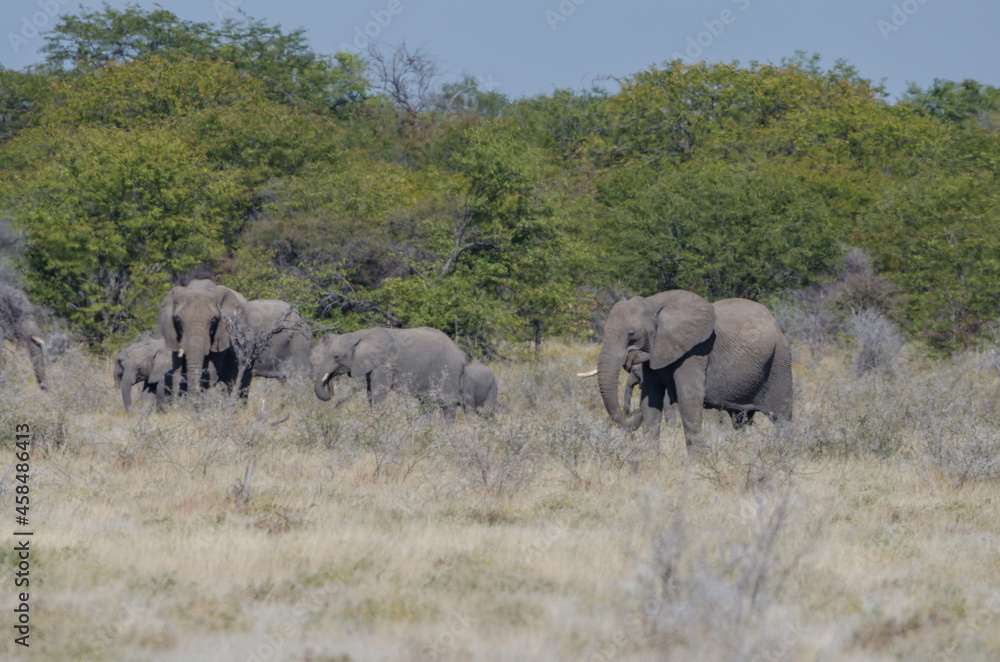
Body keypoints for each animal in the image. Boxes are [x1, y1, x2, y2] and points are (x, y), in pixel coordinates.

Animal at [312, 328, 464, 420]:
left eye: (336, 356)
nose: (330, 383)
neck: (360, 335)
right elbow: (370, 393)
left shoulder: (384, 363)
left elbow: (378, 392)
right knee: (427, 403)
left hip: (450, 371)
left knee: (447, 403)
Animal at [588, 294, 792, 454]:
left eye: (631, 333)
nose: (632, 414)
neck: (654, 303)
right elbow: (650, 402)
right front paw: (650, 463)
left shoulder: (695, 352)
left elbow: (689, 401)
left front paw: (695, 466)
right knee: (741, 420)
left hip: (779, 362)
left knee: (782, 419)